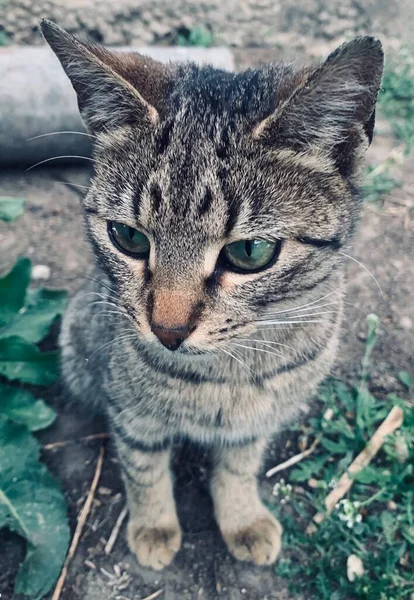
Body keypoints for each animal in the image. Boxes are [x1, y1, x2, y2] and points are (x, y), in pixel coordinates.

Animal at [40, 19, 384, 572]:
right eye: (128, 237)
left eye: (250, 251)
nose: (167, 330)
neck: (222, 376)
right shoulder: (132, 411)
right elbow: (143, 467)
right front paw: (154, 526)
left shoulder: (255, 421)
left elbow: (239, 466)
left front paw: (242, 518)